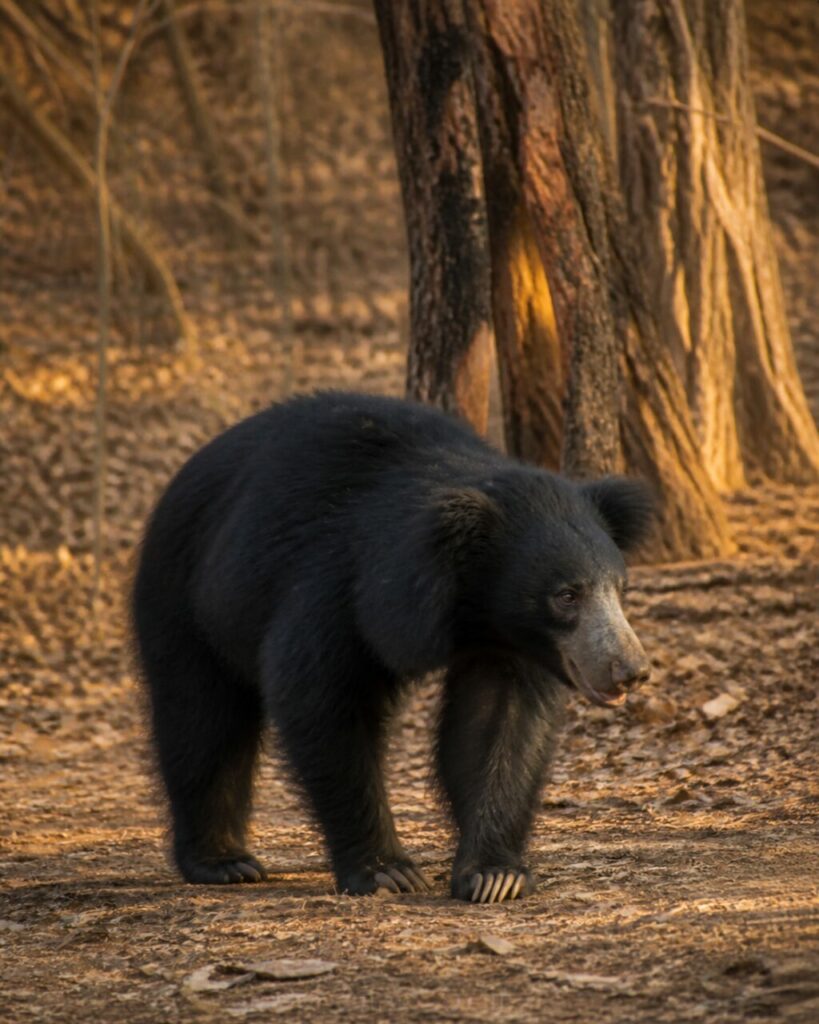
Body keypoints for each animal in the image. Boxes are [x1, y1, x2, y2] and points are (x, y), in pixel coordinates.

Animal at [132, 391, 652, 903]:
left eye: (619, 588)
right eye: (567, 595)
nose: (630, 670)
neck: (466, 608)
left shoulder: (505, 643)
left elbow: (498, 725)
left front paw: (495, 875)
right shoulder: (335, 590)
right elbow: (323, 703)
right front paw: (388, 872)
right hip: (186, 596)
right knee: (201, 719)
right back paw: (224, 861)